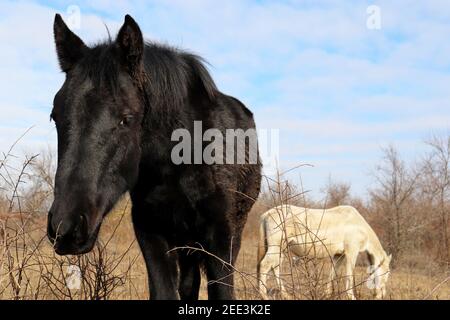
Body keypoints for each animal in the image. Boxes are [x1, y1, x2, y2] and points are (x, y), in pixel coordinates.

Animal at [256, 205, 390, 300]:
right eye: (387, 273)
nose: (382, 295)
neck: (359, 226)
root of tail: (266, 214)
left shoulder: (339, 255)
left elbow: (332, 274)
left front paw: (327, 294)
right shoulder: (351, 252)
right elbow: (349, 276)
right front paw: (351, 297)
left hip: (280, 249)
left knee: (275, 267)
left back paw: (286, 295)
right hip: (276, 247)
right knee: (265, 265)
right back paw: (264, 295)